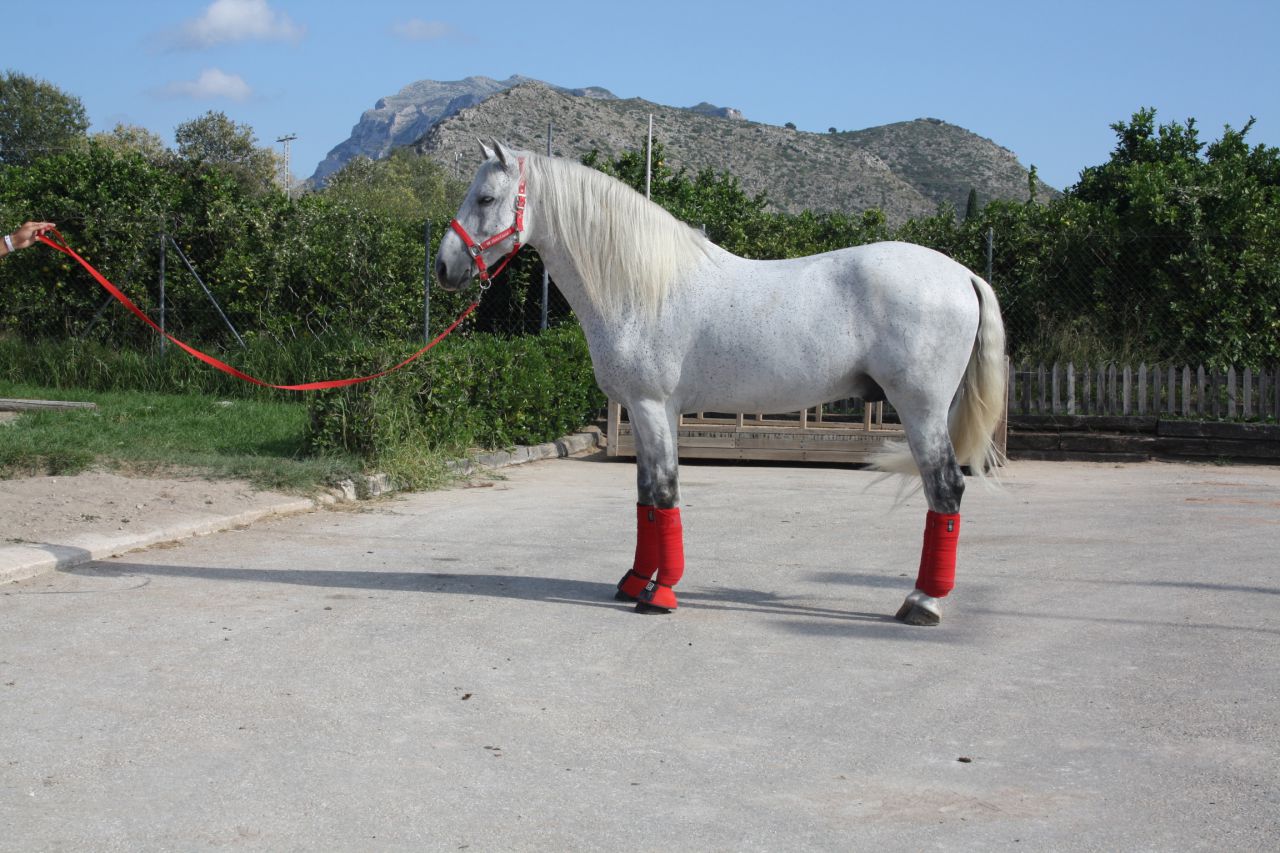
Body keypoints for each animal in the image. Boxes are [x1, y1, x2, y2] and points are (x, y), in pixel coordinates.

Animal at [435, 140, 1006, 626]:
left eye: (486, 197)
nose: (444, 267)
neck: (643, 287)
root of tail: (962, 275)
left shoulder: (651, 406)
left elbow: (666, 492)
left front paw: (661, 595)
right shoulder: (648, 413)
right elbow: (646, 496)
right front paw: (634, 581)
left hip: (921, 409)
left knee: (946, 489)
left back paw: (923, 602)